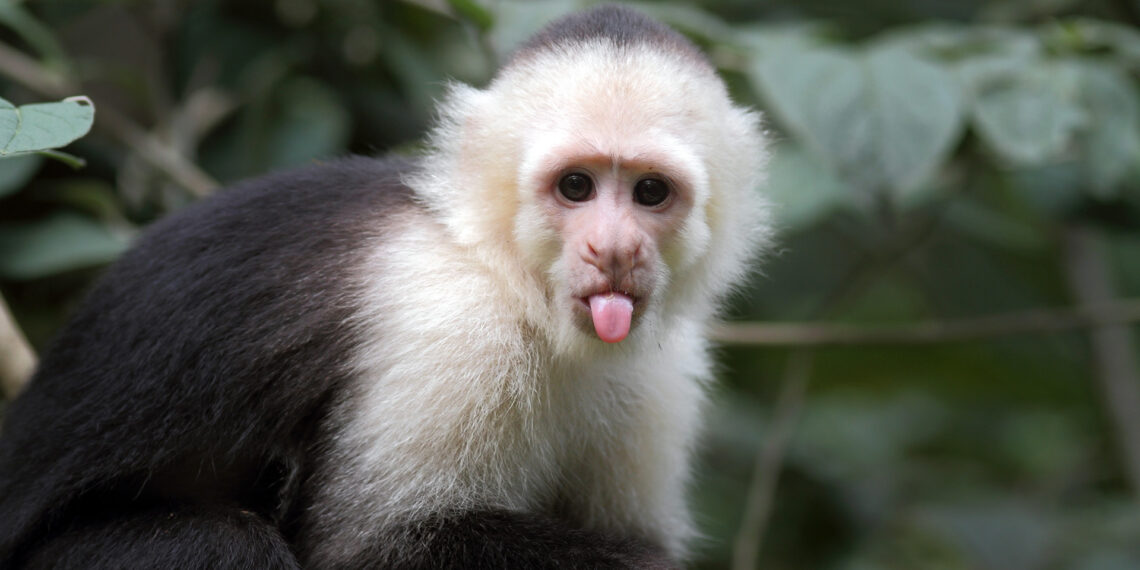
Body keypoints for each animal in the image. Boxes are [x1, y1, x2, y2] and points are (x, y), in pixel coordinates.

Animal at [0, 5, 769, 569]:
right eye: (576, 186)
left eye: (650, 192)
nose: (612, 250)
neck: (514, 286)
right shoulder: (452, 323)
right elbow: (367, 547)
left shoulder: (663, 373)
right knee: (218, 543)